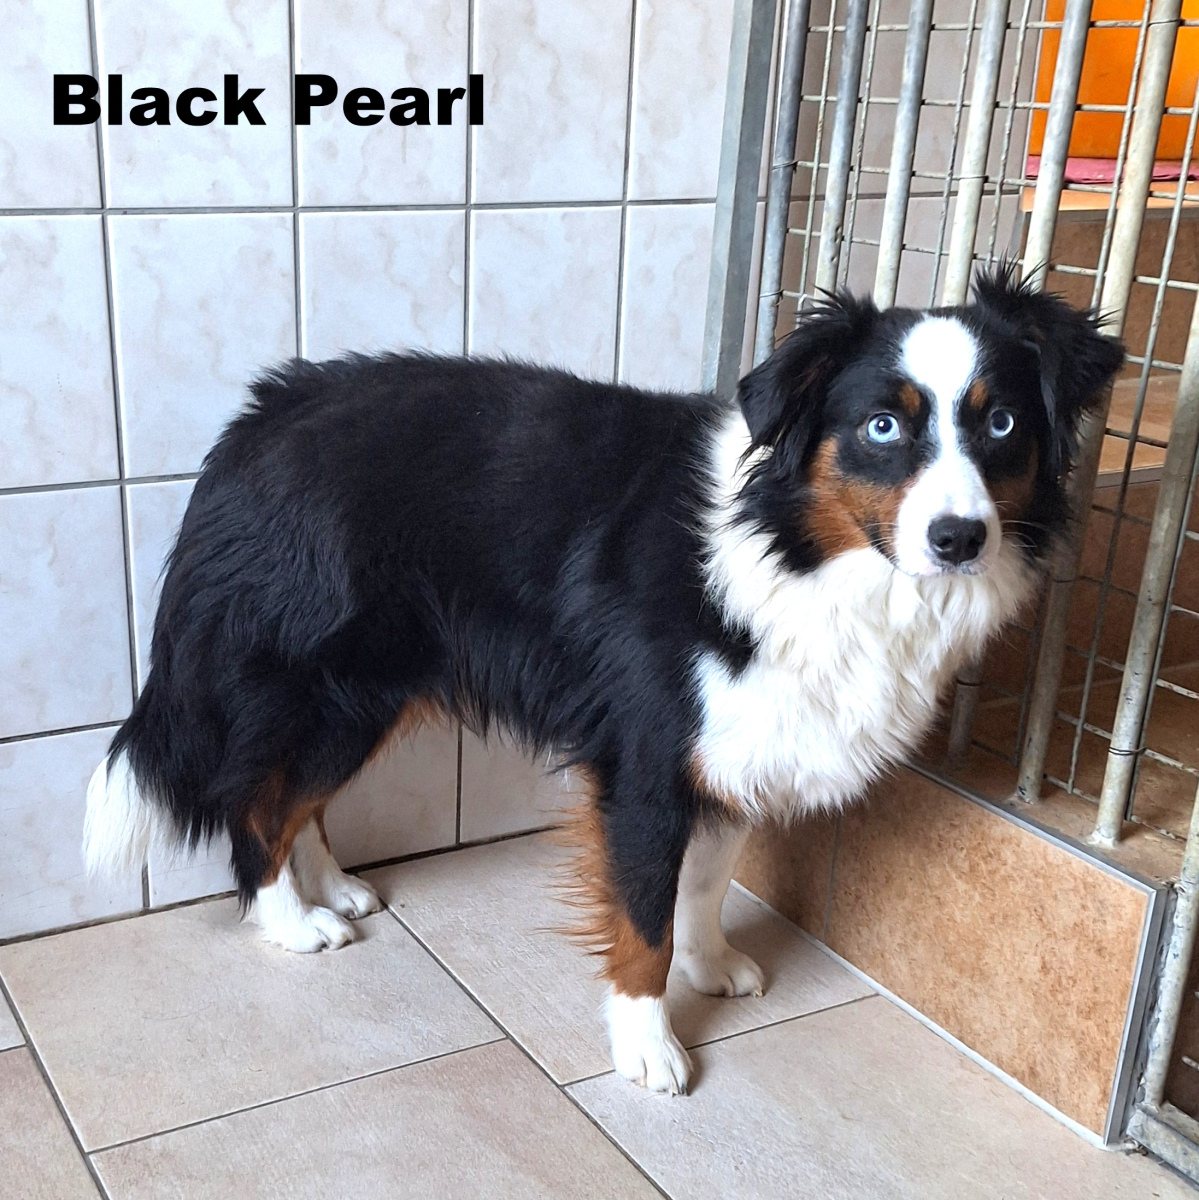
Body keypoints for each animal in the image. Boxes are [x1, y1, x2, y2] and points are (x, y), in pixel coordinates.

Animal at [83, 265, 1123, 1095]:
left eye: (1001, 423)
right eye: (880, 427)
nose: (959, 539)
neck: (790, 549)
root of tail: (261, 416)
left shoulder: (734, 737)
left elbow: (705, 881)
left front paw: (711, 965)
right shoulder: (647, 759)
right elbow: (643, 916)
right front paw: (648, 1045)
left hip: (364, 694)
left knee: (299, 796)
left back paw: (332, 889)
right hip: (323, 686)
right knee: (254, 802)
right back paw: (288, 920)